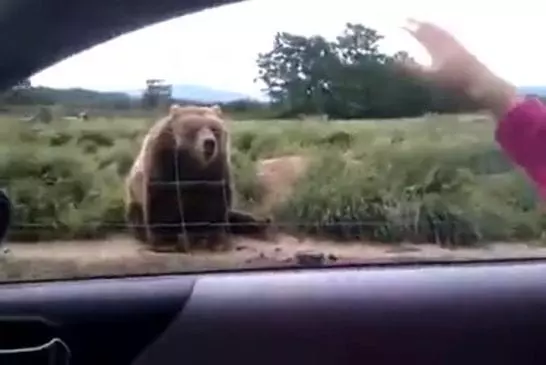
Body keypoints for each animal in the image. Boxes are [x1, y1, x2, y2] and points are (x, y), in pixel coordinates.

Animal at [124, 102, 270, 250]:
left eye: (214, 129)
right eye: (194, 129)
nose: (209, 143)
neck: (193, 162)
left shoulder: (215, 169)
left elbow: (216, 202)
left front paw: (213, 237)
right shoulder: (163, 161)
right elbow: (161, 200)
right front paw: (166, 238)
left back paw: (261, 222)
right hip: (134, 199)